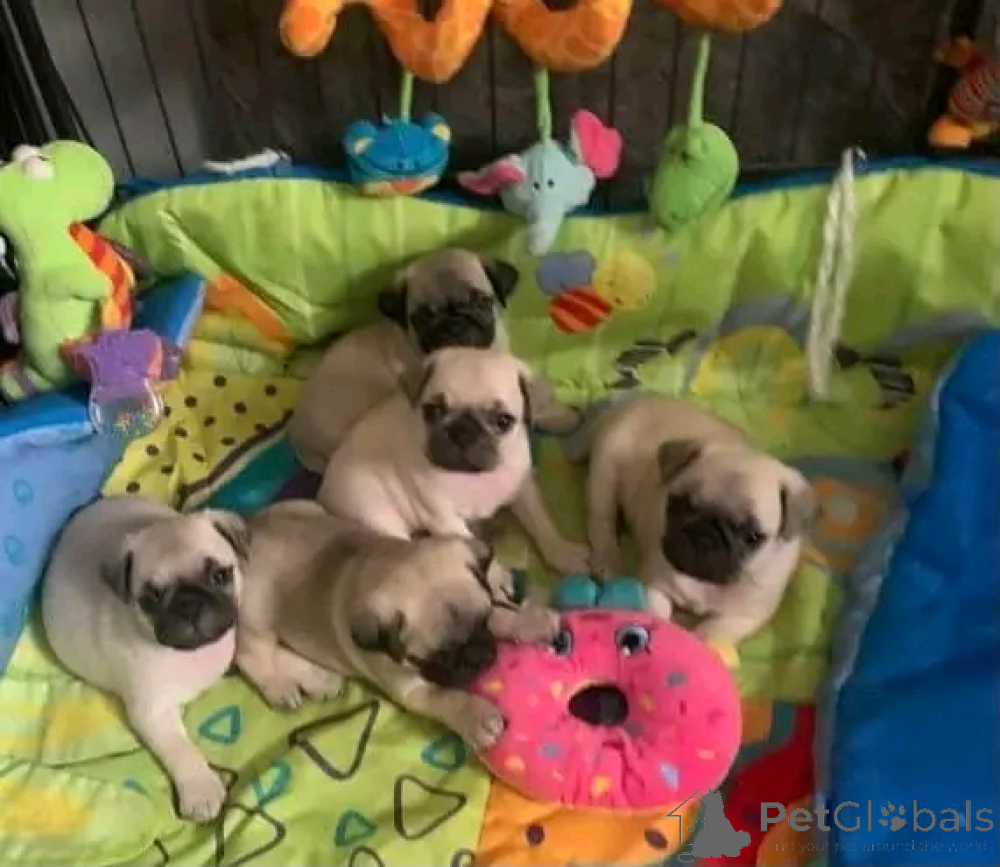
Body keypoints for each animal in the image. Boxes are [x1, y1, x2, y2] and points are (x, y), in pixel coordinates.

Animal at [40, 495, 249, 822]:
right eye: (152, 597)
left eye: (220, 575)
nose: (189, 603)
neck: (193, 654)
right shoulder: (155, 714)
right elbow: (181, 750)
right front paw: (200, 788)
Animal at [237, 500, 559, 748]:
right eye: (438, 657)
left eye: (482, 623)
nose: (479, 658)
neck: (386, 559)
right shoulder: (411, 689)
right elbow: (445, 696)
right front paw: (475, 717)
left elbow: (503, 614)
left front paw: (529, 622)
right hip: (257, 619)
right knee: (252, 657)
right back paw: (281, 687)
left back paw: (319, 678)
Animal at [316, 345, 591, 575]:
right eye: (432, 411)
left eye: (503, 421)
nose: (463, 430)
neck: (472, 476)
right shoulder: (446, 521)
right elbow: (472, 547)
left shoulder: (522, 489)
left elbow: (542, 524)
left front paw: (563, 552)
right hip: (377, 517)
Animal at [581, 395, 816, 644]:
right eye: (677, 504)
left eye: (753, 537)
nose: (704, 535)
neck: (704, 582)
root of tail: (629, 404)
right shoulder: (655, 587)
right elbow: (657, 613)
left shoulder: (742, 616)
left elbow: (711, 631)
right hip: (605, 474)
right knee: (601, 521)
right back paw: (607, 558)